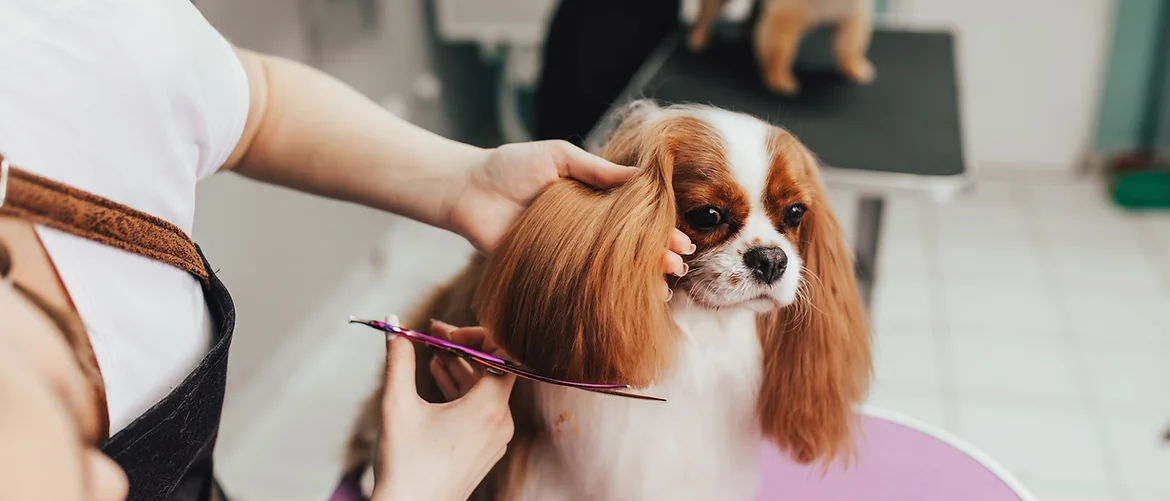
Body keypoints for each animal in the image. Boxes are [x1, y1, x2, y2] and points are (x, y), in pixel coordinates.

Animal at [687, 0, 875, 94]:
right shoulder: (785, 17)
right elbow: (779, 51)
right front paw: (778, 78)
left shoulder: (851, 14)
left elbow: (850, 45)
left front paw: (854, 67)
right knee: (706, 16)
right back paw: (697, 39)